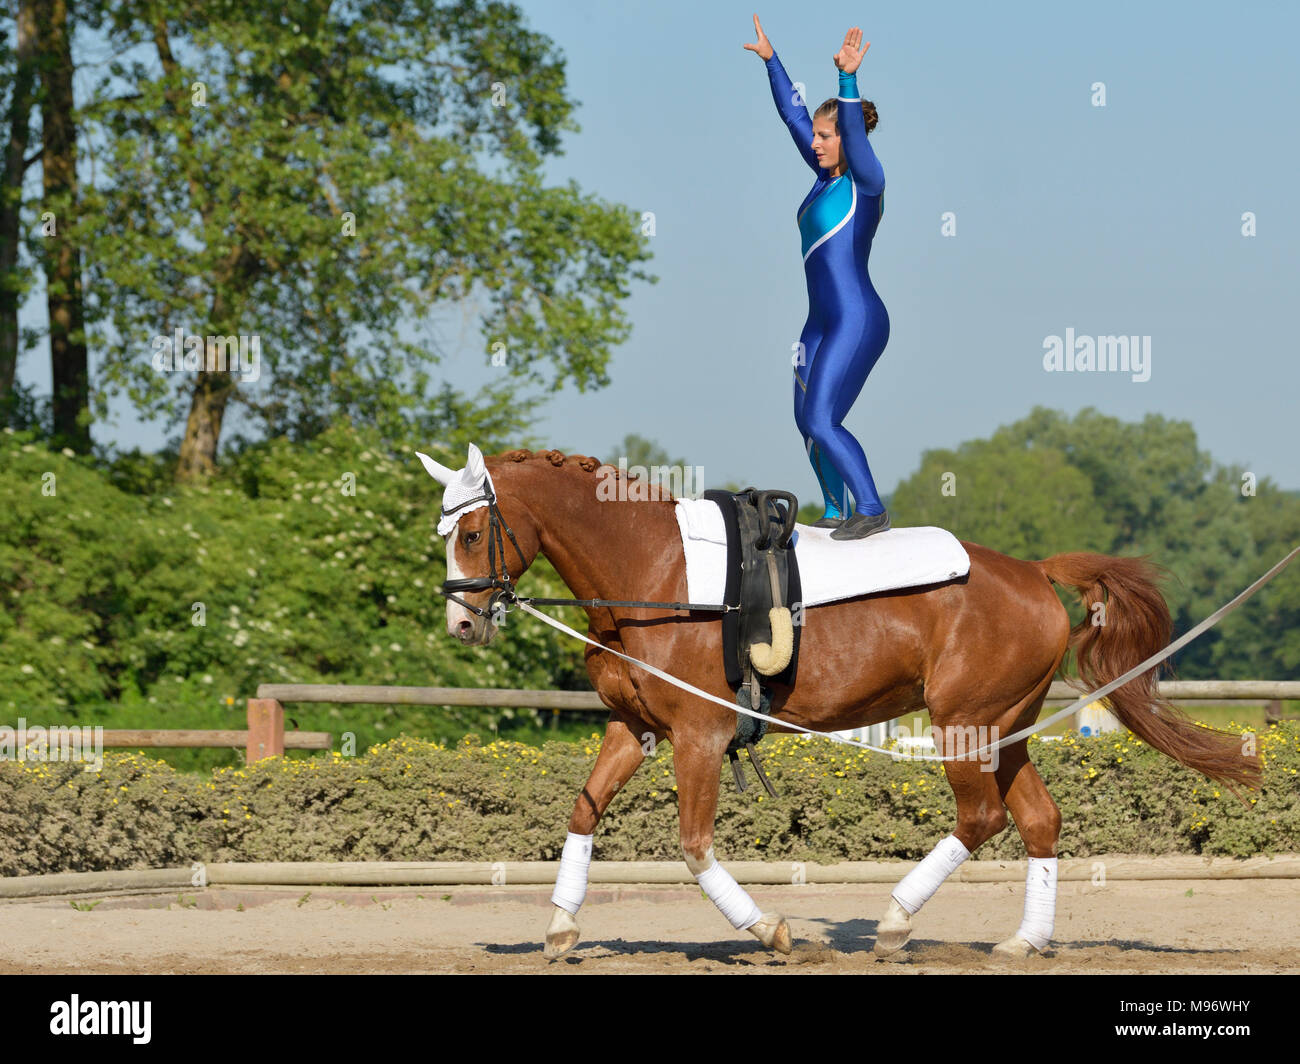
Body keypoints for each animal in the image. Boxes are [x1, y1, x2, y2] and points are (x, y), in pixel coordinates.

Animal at [417, 443, 1261, 960]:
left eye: (471, 532)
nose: (462, 623)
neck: (653, 572)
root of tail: (1030, 569)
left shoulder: (699, 734)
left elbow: (693, 847)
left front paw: (770, 930)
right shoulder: (637, 728)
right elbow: (584, 812)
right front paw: (561, 928)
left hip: (961, 726)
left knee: (982, 818)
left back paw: (895, 921)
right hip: (1005, 730)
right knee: (1038, 821)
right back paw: (1022, 942)